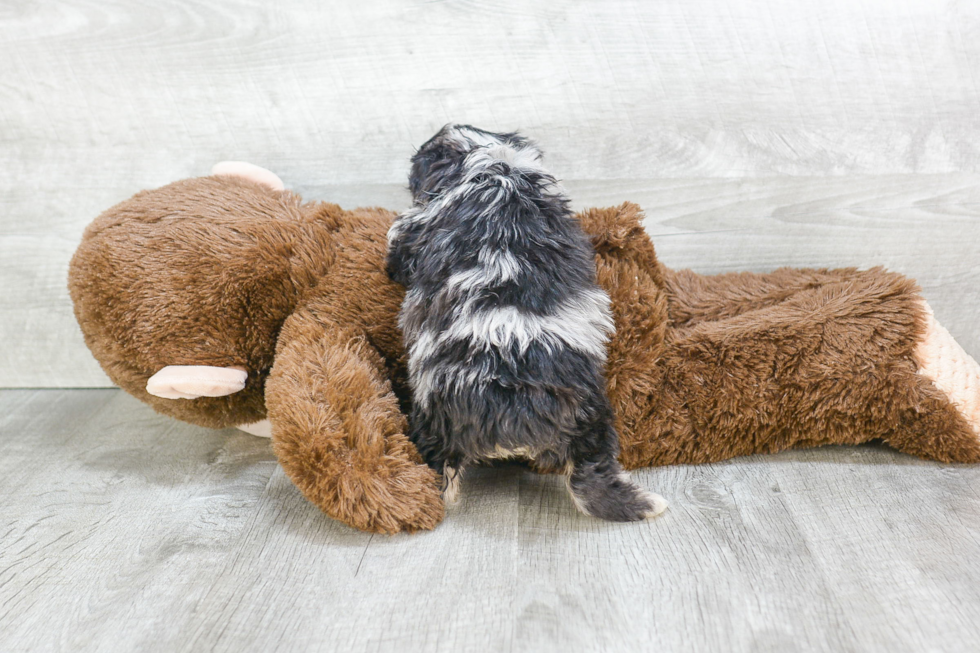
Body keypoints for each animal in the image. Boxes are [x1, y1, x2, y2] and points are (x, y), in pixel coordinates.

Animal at [382, 123, 668, 520]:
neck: (496, 167)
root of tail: (513, 418)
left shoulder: (416, 225)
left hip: (435, 420)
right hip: (591, 421)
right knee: (592, 477)